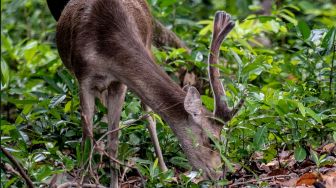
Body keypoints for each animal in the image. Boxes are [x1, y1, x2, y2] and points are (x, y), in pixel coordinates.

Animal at [50, 0, 243, 186]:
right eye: (212, 141)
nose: (220, 175)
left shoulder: (119, 83)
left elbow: (114, 142)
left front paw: (112, 183)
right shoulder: (83, 78)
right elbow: (86, 138)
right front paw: (84, 179)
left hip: (148, 43)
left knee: (149, 117)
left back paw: (164, 171)